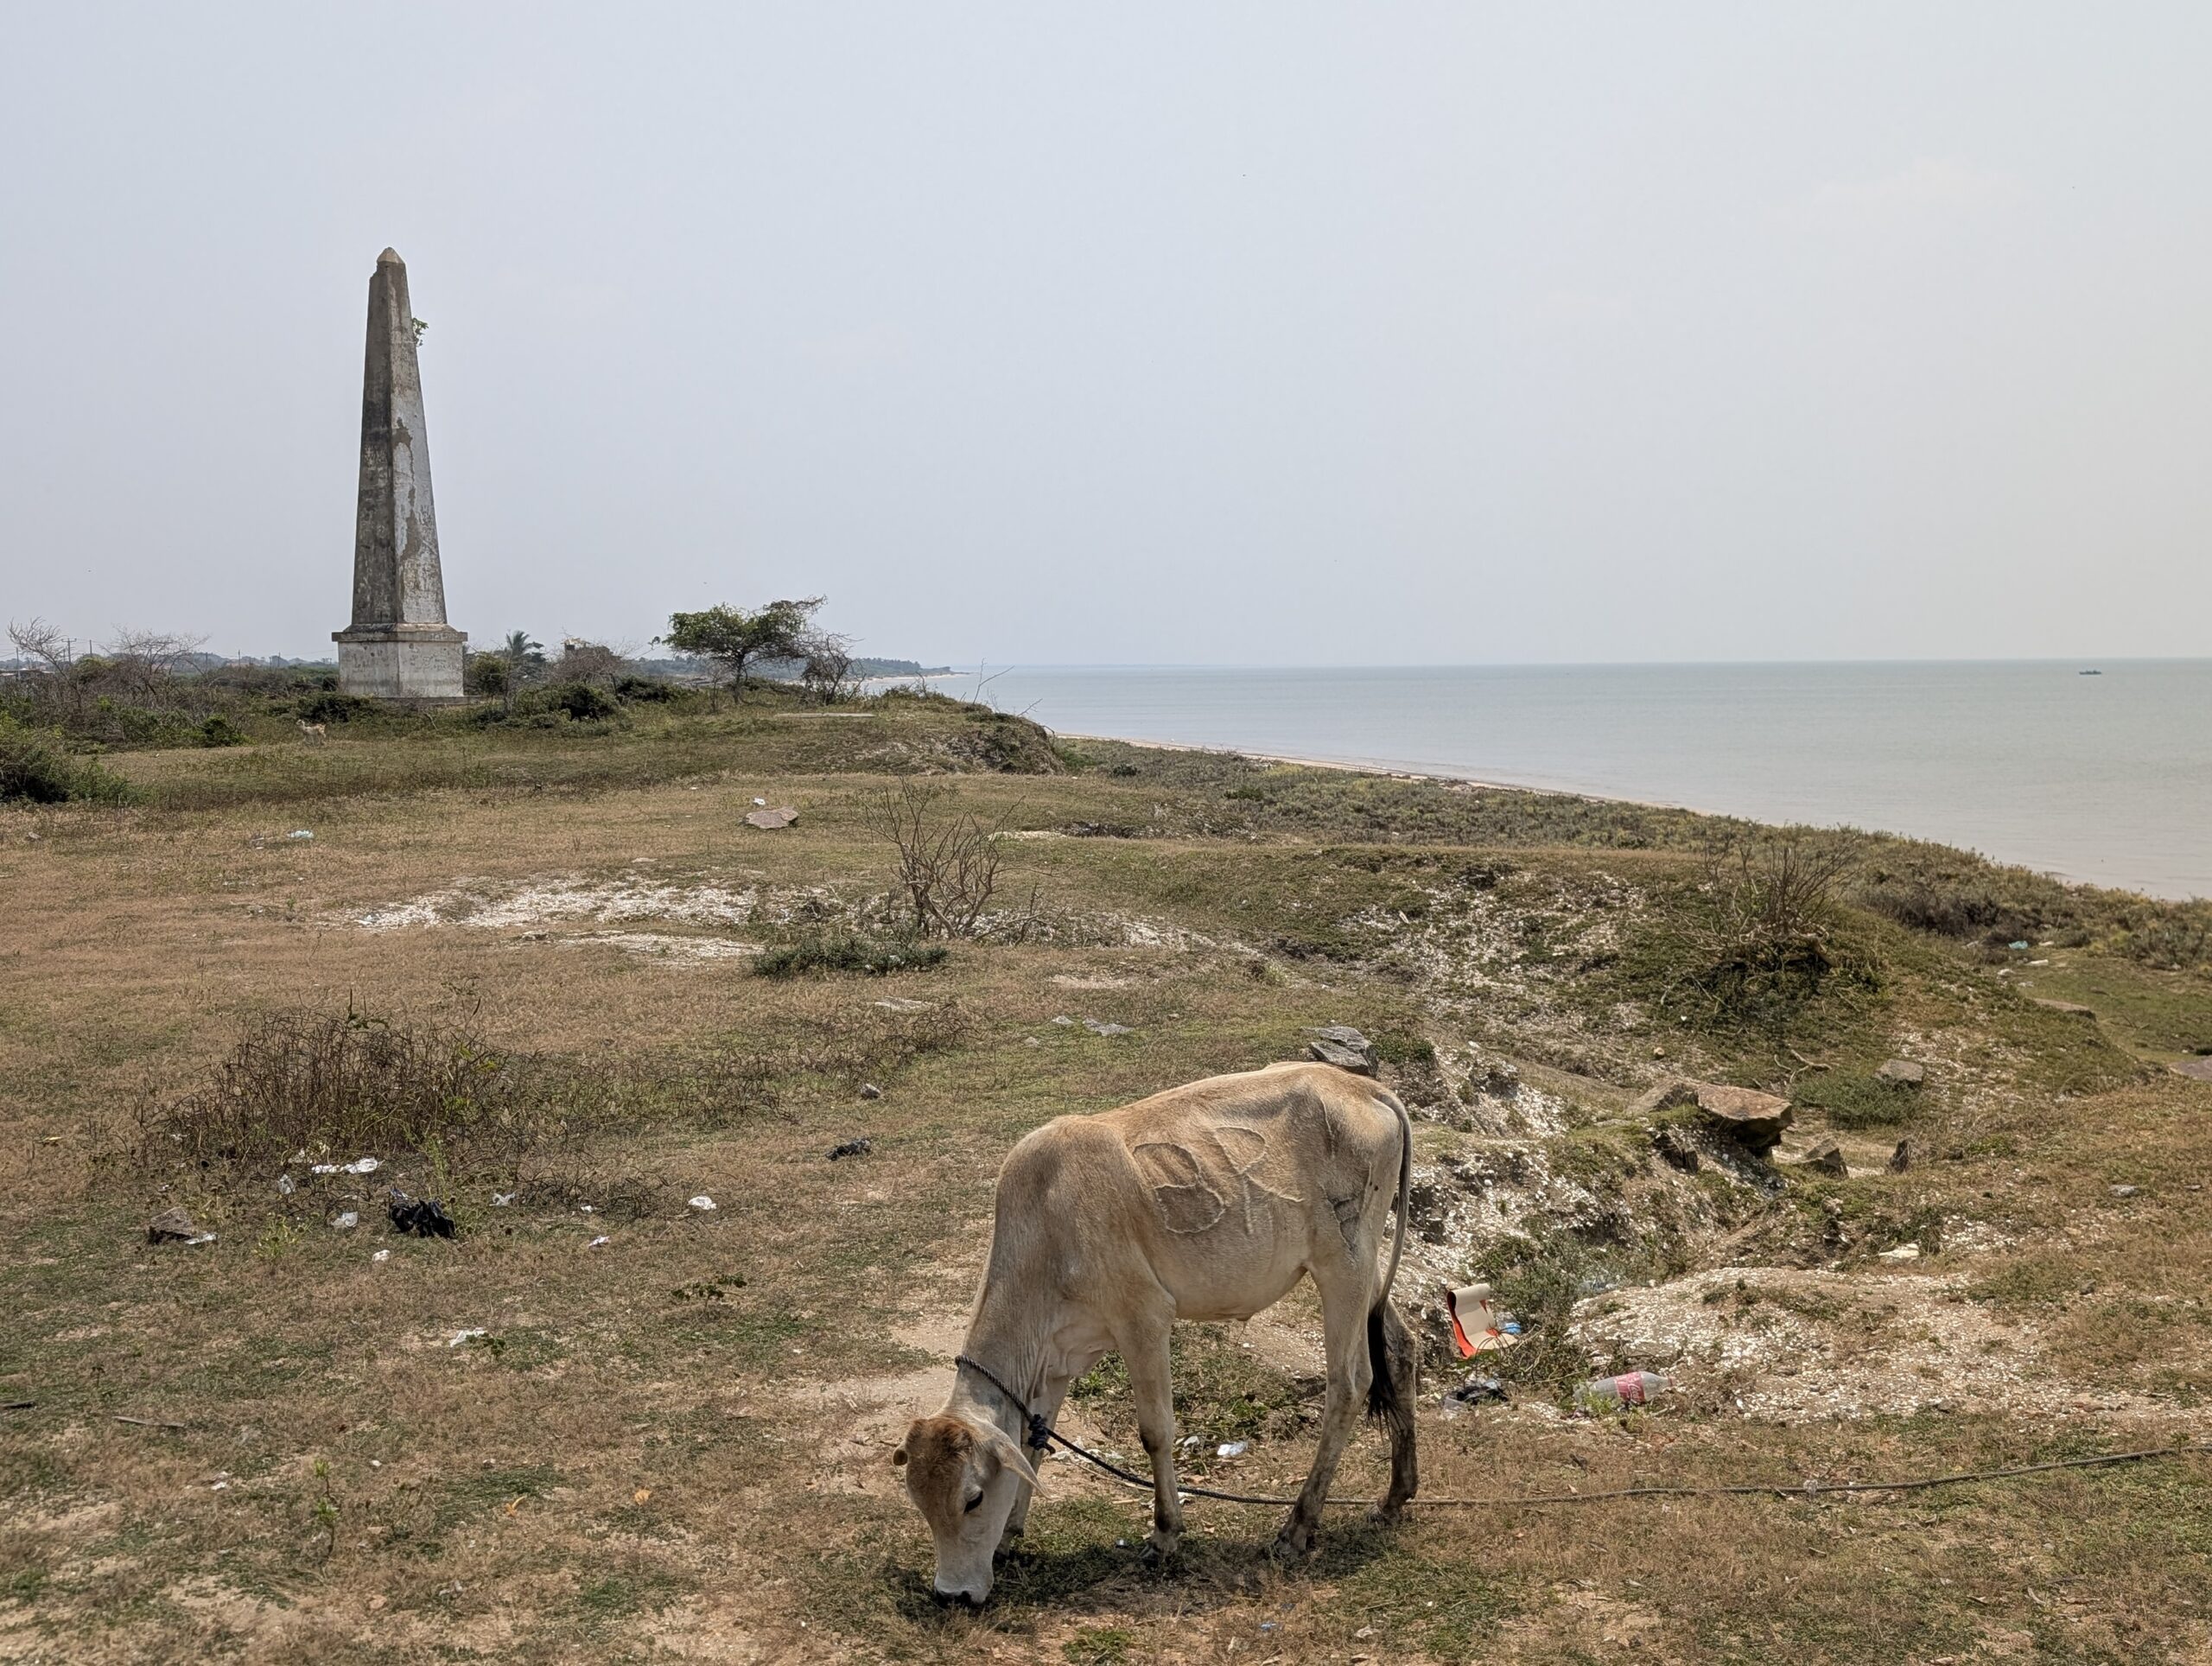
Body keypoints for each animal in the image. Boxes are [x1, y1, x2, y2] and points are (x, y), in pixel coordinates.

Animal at [894, 1061, 1418, 1605]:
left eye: (973, 1499)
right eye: (919, 1502)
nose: (951, 1594)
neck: (1046, 1229)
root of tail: (1363, 1085)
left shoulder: (1143, 1319)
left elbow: (1155, 1431)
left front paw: (1165, 1534)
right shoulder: (1056, 1356)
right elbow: (1032, 1442)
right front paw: (1009, 1538)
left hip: (1343, 1264)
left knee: (1351, 1382)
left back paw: (1297, 1526)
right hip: (1367, 1271)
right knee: (1400, 1352)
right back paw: (1393, 1498)